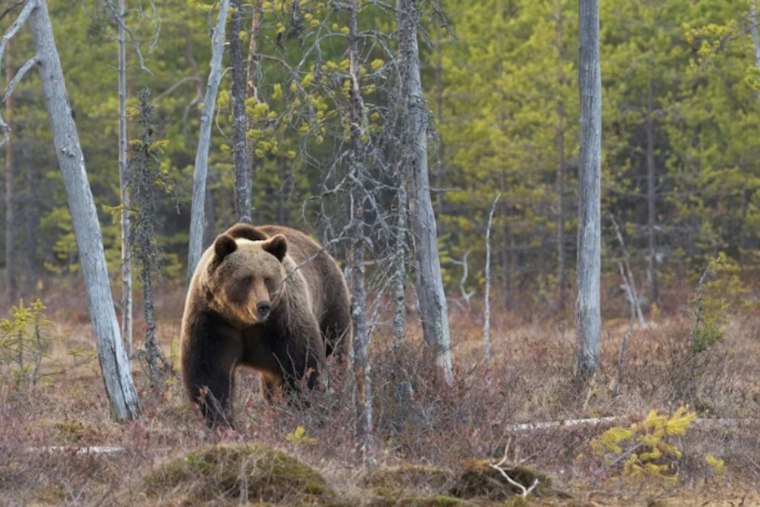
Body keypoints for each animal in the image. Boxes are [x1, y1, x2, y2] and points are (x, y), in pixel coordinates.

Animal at [180, 223, 352, 427]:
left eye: (268, 278)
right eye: (246, 278)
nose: (263, 306)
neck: (244, 321)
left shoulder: (283, 321)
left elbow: (303, 366)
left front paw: (305, 411)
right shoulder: (212, 320)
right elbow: (210, 374)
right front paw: (221, 420)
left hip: (329, 304)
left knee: (334, 351)